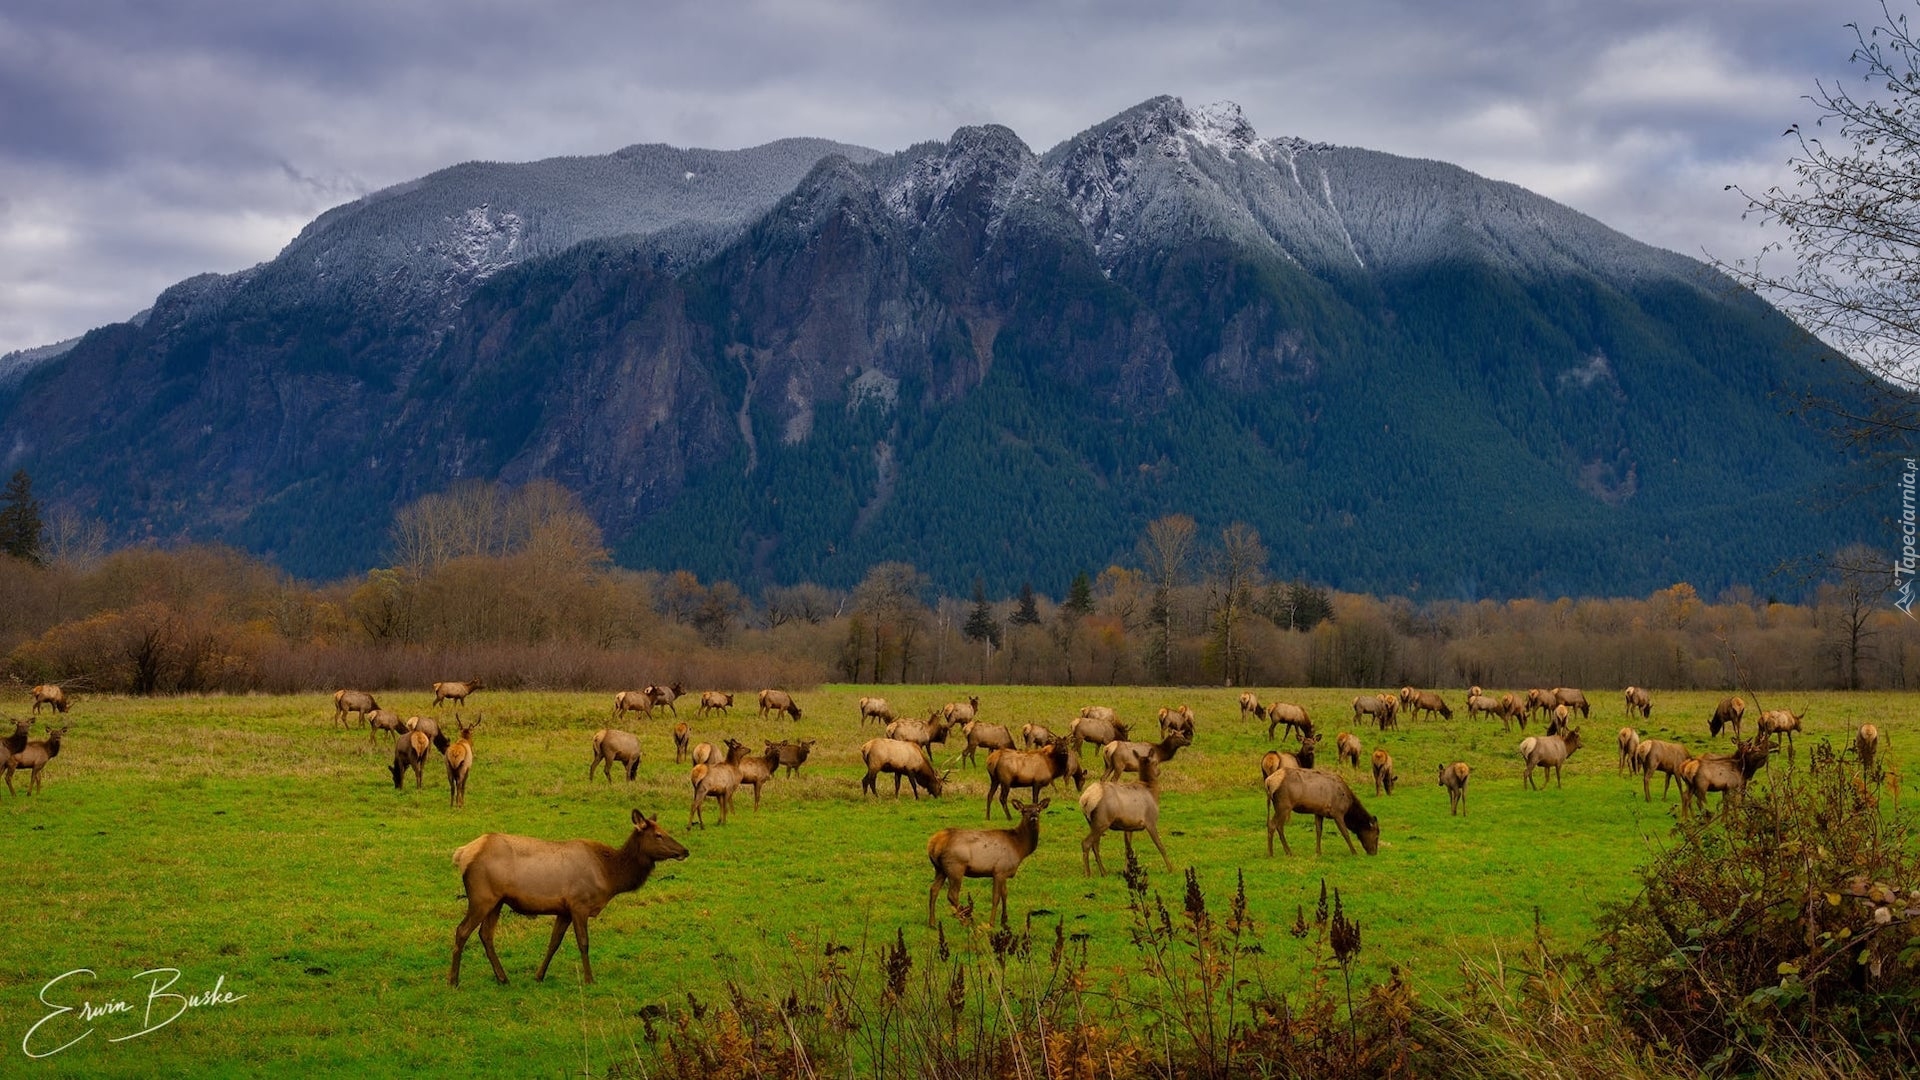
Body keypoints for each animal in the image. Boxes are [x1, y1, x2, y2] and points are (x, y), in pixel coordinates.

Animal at [449, 807, 691, 983]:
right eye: (658, 835)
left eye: (666, 831)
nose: (684, 851)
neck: (609, 875)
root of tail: (462, 853)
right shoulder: (579, 904)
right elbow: (583, 943)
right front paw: (589, 979)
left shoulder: (564, 910)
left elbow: (553, 943)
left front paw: (539, 976)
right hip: (481, 897)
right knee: (462, 930)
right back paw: (453, 980)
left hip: (497, 901)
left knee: (485, 935)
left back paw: (502, 978)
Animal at [929, 791, 1052, 926]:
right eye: (1024, 811)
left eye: (1038, 809)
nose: (1033, 817)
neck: (1019, 847)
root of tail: (934, 842)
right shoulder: (999, 870)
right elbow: (996, 897)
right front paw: (991, 923)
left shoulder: (1004, 872)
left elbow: (1005, 894)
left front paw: (1004, 920)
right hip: (956, 866)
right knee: (952, 894)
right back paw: (966, 920)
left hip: (940, 869)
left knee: (933, 889)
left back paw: (932, 923)